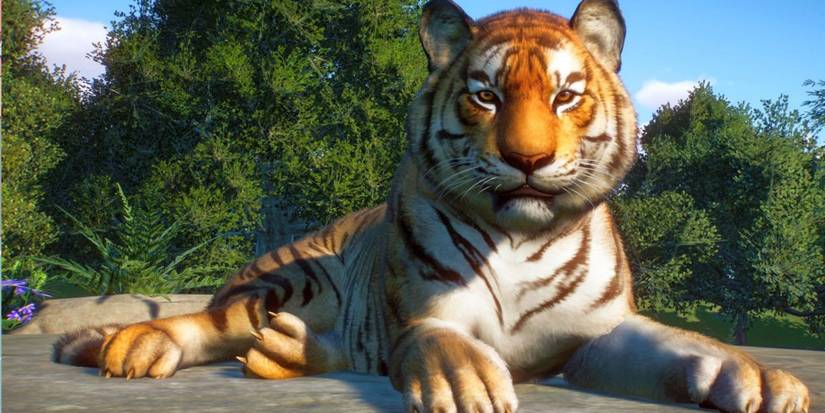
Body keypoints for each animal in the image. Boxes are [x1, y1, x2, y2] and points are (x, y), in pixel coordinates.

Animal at [53, 1, 811, 412]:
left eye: (565, 95)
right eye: (487, 95)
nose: (528, 159)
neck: (522, 235)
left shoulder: (595, 334)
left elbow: (682, 343)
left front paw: (760, 377)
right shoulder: (427, 312)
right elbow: (441, 343)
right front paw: (466, 384)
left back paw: (286, 352)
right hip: (293, 275)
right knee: (215, 320)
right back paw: (137, 343)